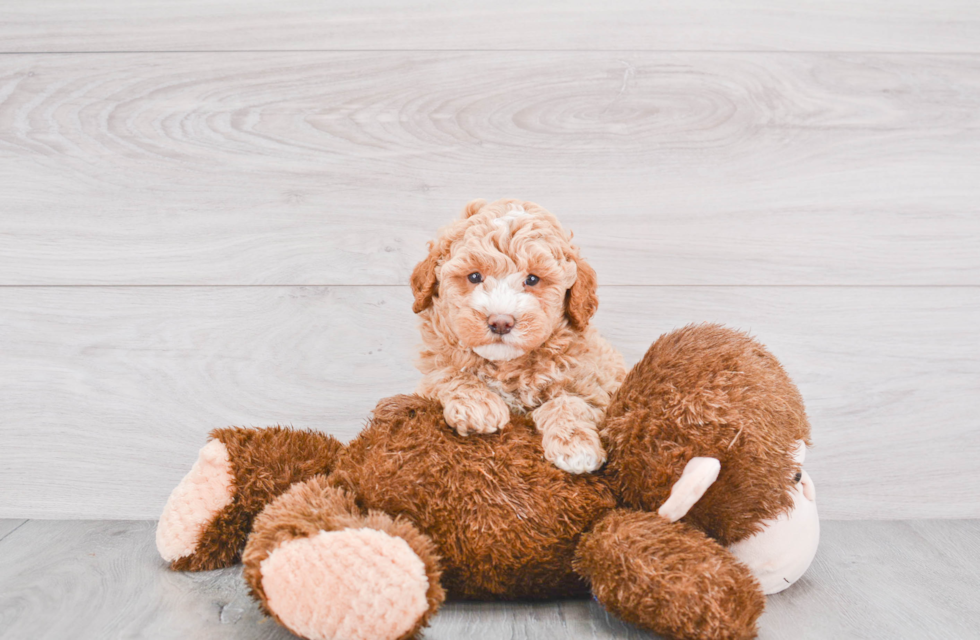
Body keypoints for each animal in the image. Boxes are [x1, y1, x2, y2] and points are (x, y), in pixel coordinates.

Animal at [408, 200, 624, 476]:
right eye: (475, 276)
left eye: (532, 279)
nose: (500, 322)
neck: (507, 367)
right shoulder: (428, 381)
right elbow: (447, 373)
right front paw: (478, 406)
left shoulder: (597, 388)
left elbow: (570, 403)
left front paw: (576, 445)